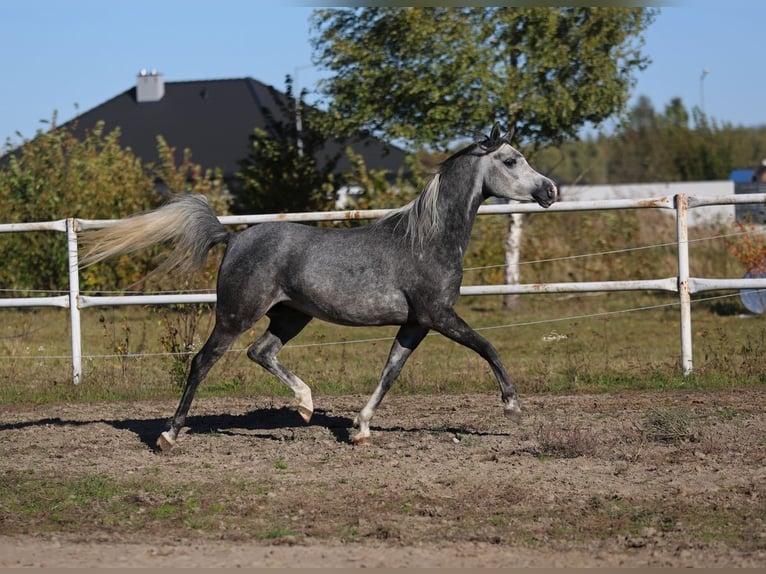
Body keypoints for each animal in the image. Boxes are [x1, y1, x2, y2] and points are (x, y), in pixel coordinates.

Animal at [80, 123, 559, 450]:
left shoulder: (416, 324)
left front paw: (360, 429)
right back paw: (169, 436)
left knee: (261, 352)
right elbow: (488, 347)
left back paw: (306, 405)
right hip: (236, 314)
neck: (427, 239)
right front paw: (513, 408)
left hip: (292, 316)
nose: (551, 189)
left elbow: (390, 372)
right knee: (201, 362)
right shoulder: (438, 315)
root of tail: (233, 238)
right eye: (511, 160)